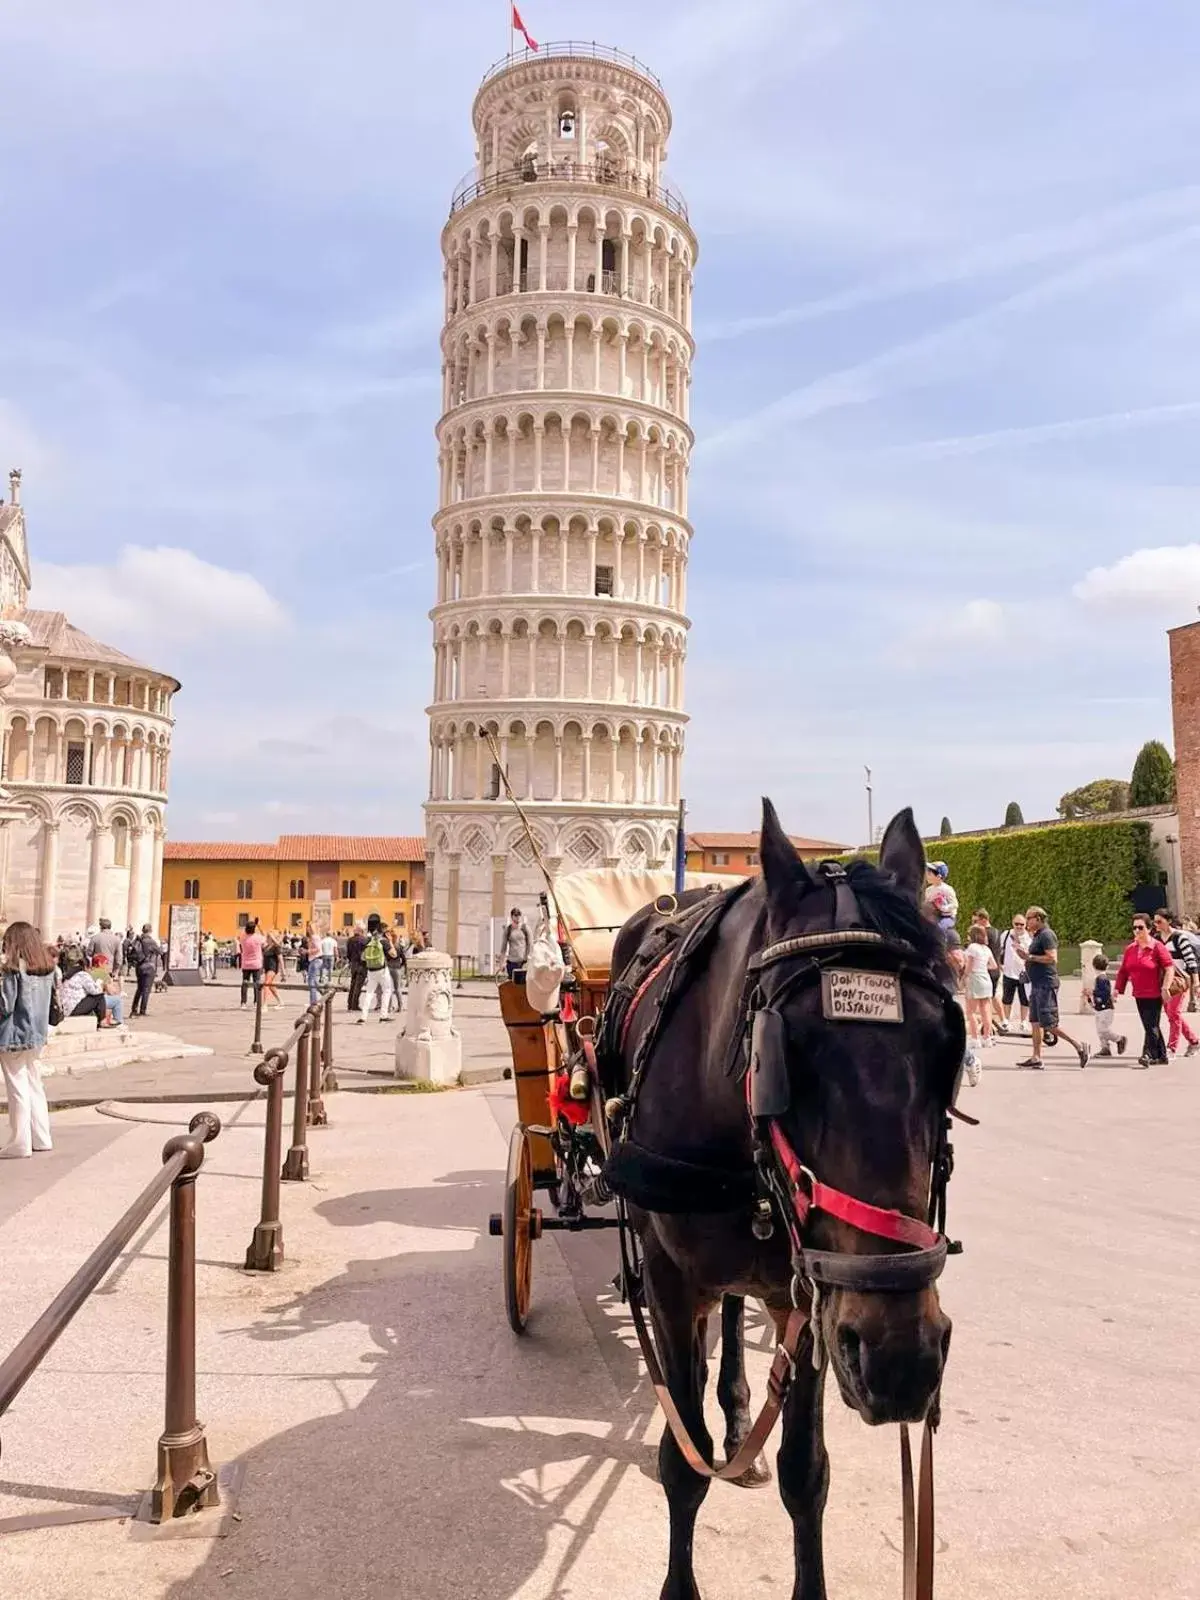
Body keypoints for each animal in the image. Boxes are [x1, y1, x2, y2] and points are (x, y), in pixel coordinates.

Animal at [604, 800, 966, 1600]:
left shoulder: (812, 1299)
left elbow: (807, 1473)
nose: (902, 1361)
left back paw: (743, 1421)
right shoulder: (671, 1284)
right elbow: (683, 1461)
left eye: (946, 1048)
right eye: (783, 1053)